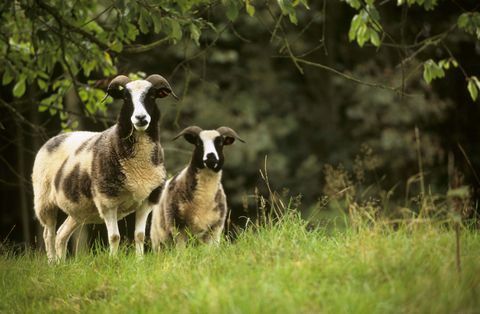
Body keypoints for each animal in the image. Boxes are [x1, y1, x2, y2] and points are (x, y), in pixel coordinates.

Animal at [32, 75, 178, 262]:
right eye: (125, 97)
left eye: (152, 96)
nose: (140, 118)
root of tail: (53, 139)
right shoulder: (107, 201)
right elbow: (114, 237)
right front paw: (114, 260)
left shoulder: (147, 200)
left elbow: (139, 235)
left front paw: (140, 261)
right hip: (44, 201)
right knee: (48, 234)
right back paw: (52, 263)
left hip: (79, 210)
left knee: (61, 234)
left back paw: (61, 263)